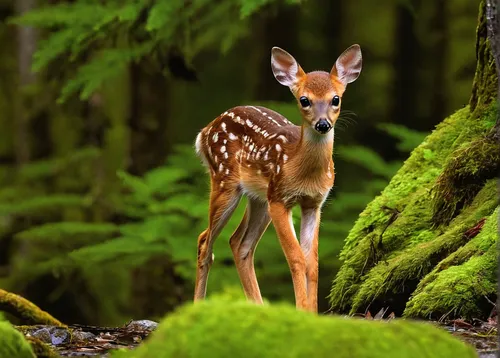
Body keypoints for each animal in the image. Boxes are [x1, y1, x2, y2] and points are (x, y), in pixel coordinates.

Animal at [193, 44, 362, 312]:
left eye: (335, 99)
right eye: (304, 100)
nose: (323, 124)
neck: (303, 171)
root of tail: (205, 131)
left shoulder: (314, 203)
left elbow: (312, 263)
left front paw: (312, 312)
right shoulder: (281, 199)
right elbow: (296, 258)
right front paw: (302, 310)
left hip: (260, 197)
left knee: (239, 243)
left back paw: (259, 306)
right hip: (226, 181)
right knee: (204, 241)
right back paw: (196, 306)